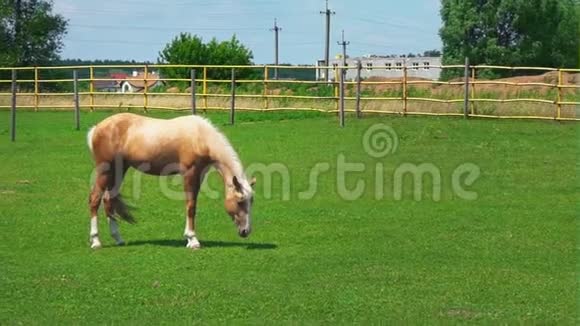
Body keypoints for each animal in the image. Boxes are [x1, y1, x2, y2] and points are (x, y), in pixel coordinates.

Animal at [86, 112, 256, 250]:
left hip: (119, 170)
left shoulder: (200, 174)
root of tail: (96, 128)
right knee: (95, 199)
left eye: (251, 202)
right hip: (106, 171)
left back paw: (118, 238)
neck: (200, 137)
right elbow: (191, 206)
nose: (245, 231)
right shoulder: (190, 174)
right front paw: (192, 240)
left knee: (108, 200)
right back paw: (96, 241)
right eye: (240, 201)